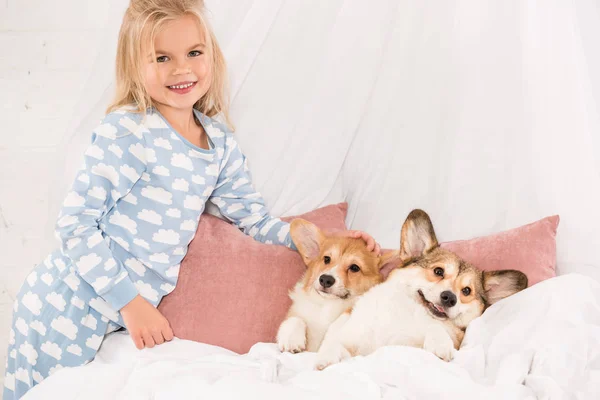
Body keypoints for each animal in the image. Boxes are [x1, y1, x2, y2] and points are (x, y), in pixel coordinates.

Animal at [276, 219, 398, 354]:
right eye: (326, 259)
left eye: (354, 267)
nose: (325, 279)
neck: (328, 304)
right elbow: (295, 319)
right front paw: (291, 339)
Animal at [316, 209, 528, 368]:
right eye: (438, 271)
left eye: (466, 291)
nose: (449, 298)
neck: (409, 311)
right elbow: (335, 343)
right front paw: (327, 356)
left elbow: (436, 328)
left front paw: (440, 345)